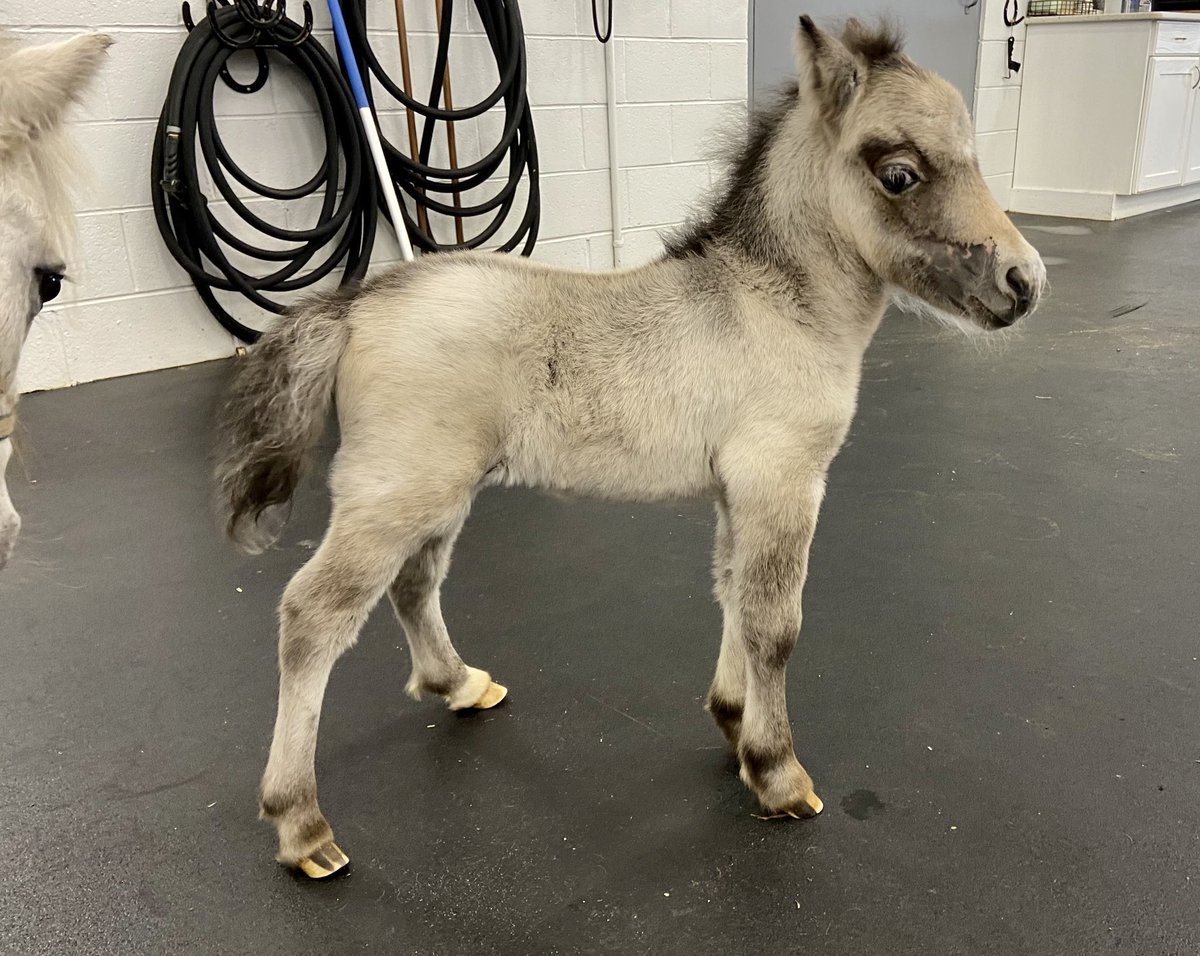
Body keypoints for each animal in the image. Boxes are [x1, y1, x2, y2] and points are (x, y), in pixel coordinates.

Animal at [215, 16, 1046, 879]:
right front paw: (777, 773)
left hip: (435, 492)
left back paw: (462, 684)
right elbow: (775, 624)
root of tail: (355, 306)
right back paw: (302, 825)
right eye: (899, 173)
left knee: (413, 585)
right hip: (395, 492)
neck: (772, 306)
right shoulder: (783, 482)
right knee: (313, 616)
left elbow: (732, 594)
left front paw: (732, 720)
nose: (1025, 283)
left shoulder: (740, 490)